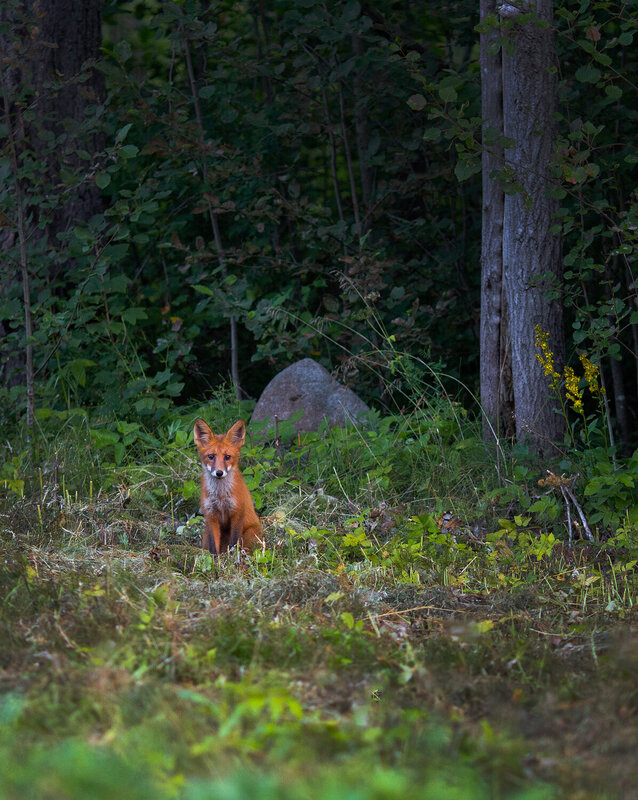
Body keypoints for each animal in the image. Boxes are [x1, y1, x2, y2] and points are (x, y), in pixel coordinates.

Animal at [193, 418, 262, 554]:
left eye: (227, 457)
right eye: (211, 456)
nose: (219, 472)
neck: (220, 495)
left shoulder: (237, 513)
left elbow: (234, 542)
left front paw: (232, 557)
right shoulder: (211, 515)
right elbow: (214, 546)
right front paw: (215, 558)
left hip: (251, 533)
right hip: (206, 534)